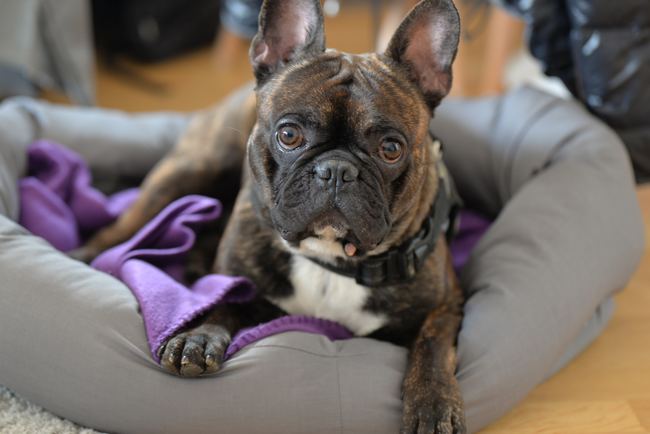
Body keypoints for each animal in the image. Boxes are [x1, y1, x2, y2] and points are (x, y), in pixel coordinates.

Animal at [76, 1, 466, 432]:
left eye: (391, 148)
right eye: (289, 135)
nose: (336, 170)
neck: (329, 260)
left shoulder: (447, 306)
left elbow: (432, 345)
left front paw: (433, 404)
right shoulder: (243, 285)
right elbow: (224, 302)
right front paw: (198, 337)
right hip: (194, 168)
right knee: (124, 226)